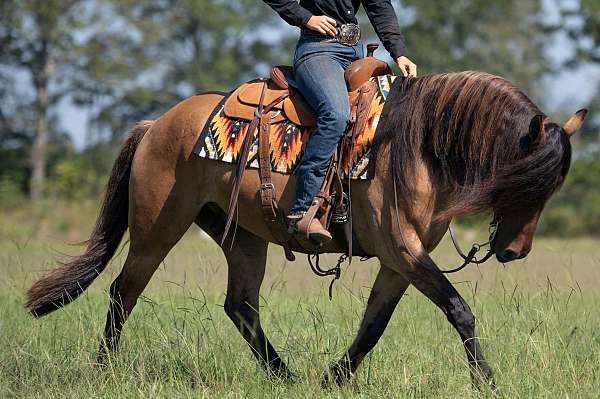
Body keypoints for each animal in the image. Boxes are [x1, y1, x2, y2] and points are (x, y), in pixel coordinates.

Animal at [24, 70, 584, 390]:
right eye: (524, 181)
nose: (515, 251)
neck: (417, 145)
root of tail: (155, 125)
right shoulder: (403, 251)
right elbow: (458, 309)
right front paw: (487, 381)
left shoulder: (400, 260)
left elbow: (374, 324)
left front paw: (332, 378)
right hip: (157, 228)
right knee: (124, 291)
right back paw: (104, 371)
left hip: (241, 237)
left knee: (240, 306)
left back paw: (284, 376)